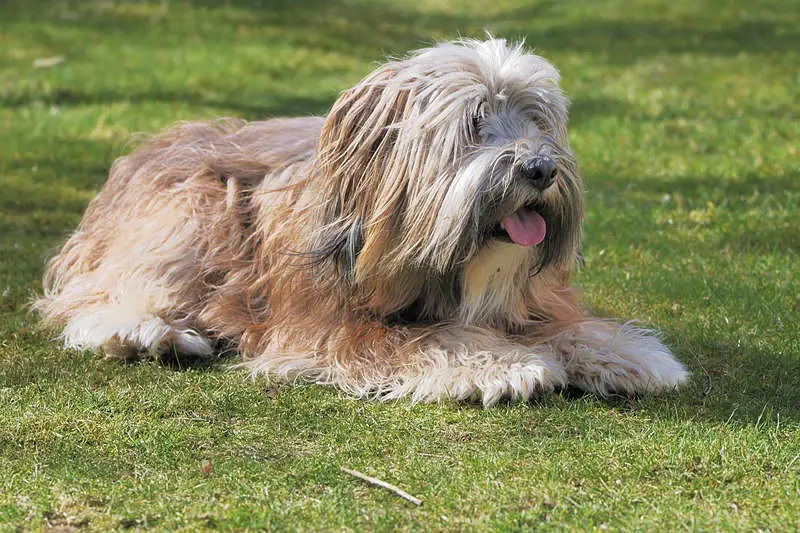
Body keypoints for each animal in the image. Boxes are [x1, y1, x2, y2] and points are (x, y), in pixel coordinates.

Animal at [36, 38, 688, 404]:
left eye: (535, 119)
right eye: (474, 123)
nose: (540, 168)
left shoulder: (534, 299)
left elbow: (565, 324)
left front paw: (625, 353)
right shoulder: (331, 325)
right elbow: (426, 339)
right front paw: (506, 363)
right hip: (191, 216)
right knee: (97, 297)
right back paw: (151, 333)